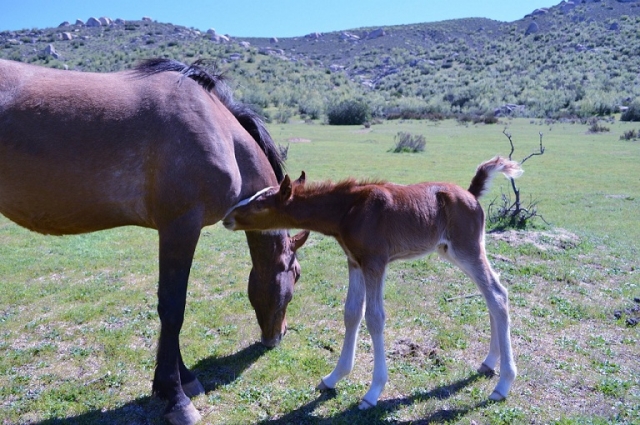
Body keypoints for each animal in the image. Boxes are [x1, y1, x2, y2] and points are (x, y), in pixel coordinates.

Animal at [0, 58, 309, 425]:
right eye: (296, 274)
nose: (279, 335)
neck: (217, 127)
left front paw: (181, 379)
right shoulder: (180, 227)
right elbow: (173, 309)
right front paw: (176, 398)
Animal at [223, 156, 522, 409]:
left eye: (260, 204)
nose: (227, 218)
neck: (348, 210)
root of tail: (471, 194)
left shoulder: (375, 262)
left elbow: (375, 318)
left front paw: (373, 391)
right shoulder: (355, 262)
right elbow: (352, 313)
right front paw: (333, 378)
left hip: (467, 249)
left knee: (497, 294)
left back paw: (503, 384)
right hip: (452, 251)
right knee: (490, 295)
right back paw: (489, 362)